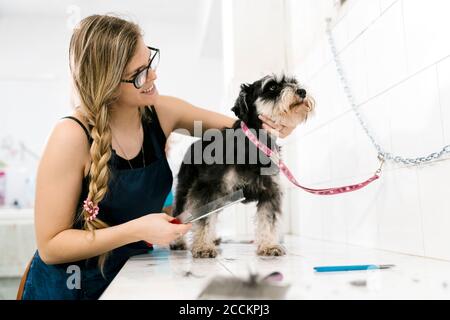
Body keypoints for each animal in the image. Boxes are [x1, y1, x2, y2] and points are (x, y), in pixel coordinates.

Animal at [171, 74, 314, 258]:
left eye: (294, 82)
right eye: (272, 87)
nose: (302, 91)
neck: (255, 143)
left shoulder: (269, 192)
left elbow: (267, 220)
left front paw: (269, 245)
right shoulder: (208, 188)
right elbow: (204, 220)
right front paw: (203, 247)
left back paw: (214, 238)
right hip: (186, 189)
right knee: (179, 213)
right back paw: (178, 241)